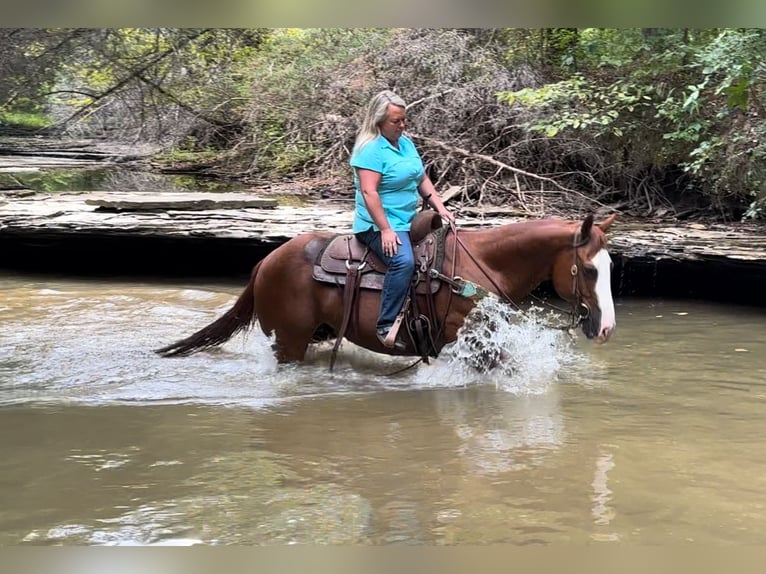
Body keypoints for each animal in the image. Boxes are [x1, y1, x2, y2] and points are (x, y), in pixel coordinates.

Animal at [156, 214, 616, 366]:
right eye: (587, 269)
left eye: (612, 266)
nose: (606, 328)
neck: (481, 268)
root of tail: (264, 263)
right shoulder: (470, 343)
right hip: (290, 340)